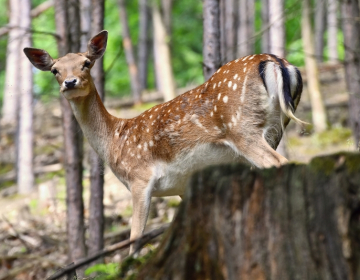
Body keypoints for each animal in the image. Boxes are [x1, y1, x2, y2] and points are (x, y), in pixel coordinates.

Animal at [24, 29, 306, 253]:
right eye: (55, 69)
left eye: (86, 63)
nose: (70, 82)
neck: (116, 139)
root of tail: (278, 62)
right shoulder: (181, 185)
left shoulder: (140, 177)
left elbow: (135, 238)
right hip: (275, 130)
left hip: (243, 130)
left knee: (281, 163)